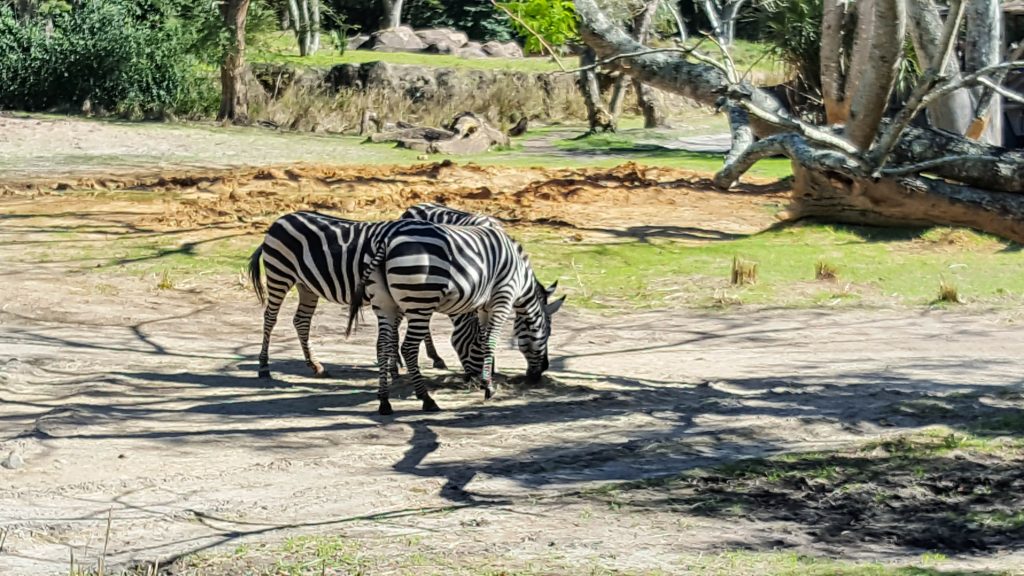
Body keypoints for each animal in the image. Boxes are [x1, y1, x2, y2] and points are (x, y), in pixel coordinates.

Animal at [245, 208, 493, 379]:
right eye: (477, 344)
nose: (478, 379)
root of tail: (282, 219)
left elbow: (395, 331)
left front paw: (393, 364)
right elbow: (395, 332)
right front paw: (394, 367)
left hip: (306, 285)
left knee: (301, 321)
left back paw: (315, 365)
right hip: (280, 273)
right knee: (270, 318)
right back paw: (264, 366)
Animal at [348, 218, 565, 412]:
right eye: (547, 335)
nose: (538, 375)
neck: (521, 278)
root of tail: (387, 237)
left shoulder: (484, 307)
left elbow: (483, 339)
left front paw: (484, 380)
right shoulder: (503, 299)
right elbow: (491, 340)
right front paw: (489, 387)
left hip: (385, 304)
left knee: (381, 347)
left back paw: (384, 401)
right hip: (420, 301)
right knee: (408, 348)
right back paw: (426, 399)